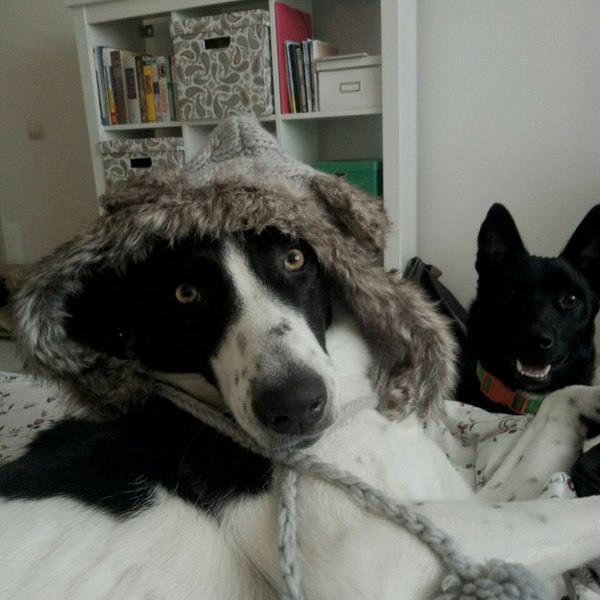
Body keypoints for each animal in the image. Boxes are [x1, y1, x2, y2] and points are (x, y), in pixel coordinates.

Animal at [4, 227, 600, 598]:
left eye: (295, 258)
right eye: (185, 293)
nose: (295, 408)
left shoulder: (464, 494)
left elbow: (555, 413)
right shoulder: (377, 554)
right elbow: (569, 513)